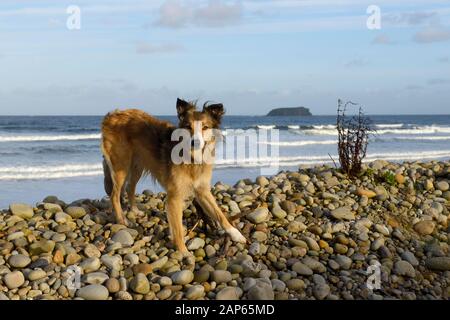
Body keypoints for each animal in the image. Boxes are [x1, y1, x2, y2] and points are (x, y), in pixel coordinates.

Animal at [101, 98, 246, 255]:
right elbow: (178, 229)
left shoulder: (202, 191)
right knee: (114, 195)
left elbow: (219, 213)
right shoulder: (174, 198)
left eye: (205, 127)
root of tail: (111, 115)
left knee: (129, 188)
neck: (191, 157)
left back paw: (135, 210)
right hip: (121, 166)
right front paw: (183, 252)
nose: (195, 142)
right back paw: (122, 220)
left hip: (136, 165)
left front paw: (236, 234)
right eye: (188, 126)